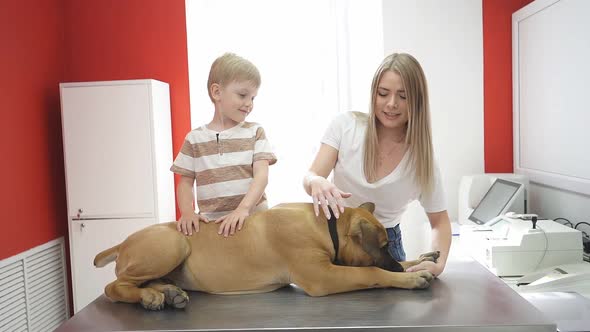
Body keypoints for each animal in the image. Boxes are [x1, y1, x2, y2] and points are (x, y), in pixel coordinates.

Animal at [95, 202, 440, 312]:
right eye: (381, 245)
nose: (396, 267)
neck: (326, 226)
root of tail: (122, 242)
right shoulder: (322, 276)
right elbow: (371, 273)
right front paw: (410, 277)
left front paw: (420, 260)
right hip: (174, 243)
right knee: (113, 287)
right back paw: (151, 297)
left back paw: (166, 292)